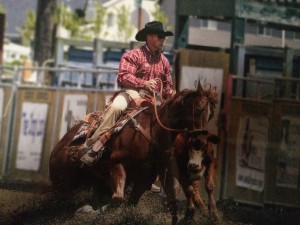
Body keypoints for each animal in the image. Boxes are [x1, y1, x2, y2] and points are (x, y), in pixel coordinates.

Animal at [49, 81, 218, 224]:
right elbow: (118, 199)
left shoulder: (144, 178)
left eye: (211, 114)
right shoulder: (116, 163)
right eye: (199, 108)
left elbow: (129, 203)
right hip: (61, 185)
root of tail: (60, 146)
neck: (153, 130)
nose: (202, 142)